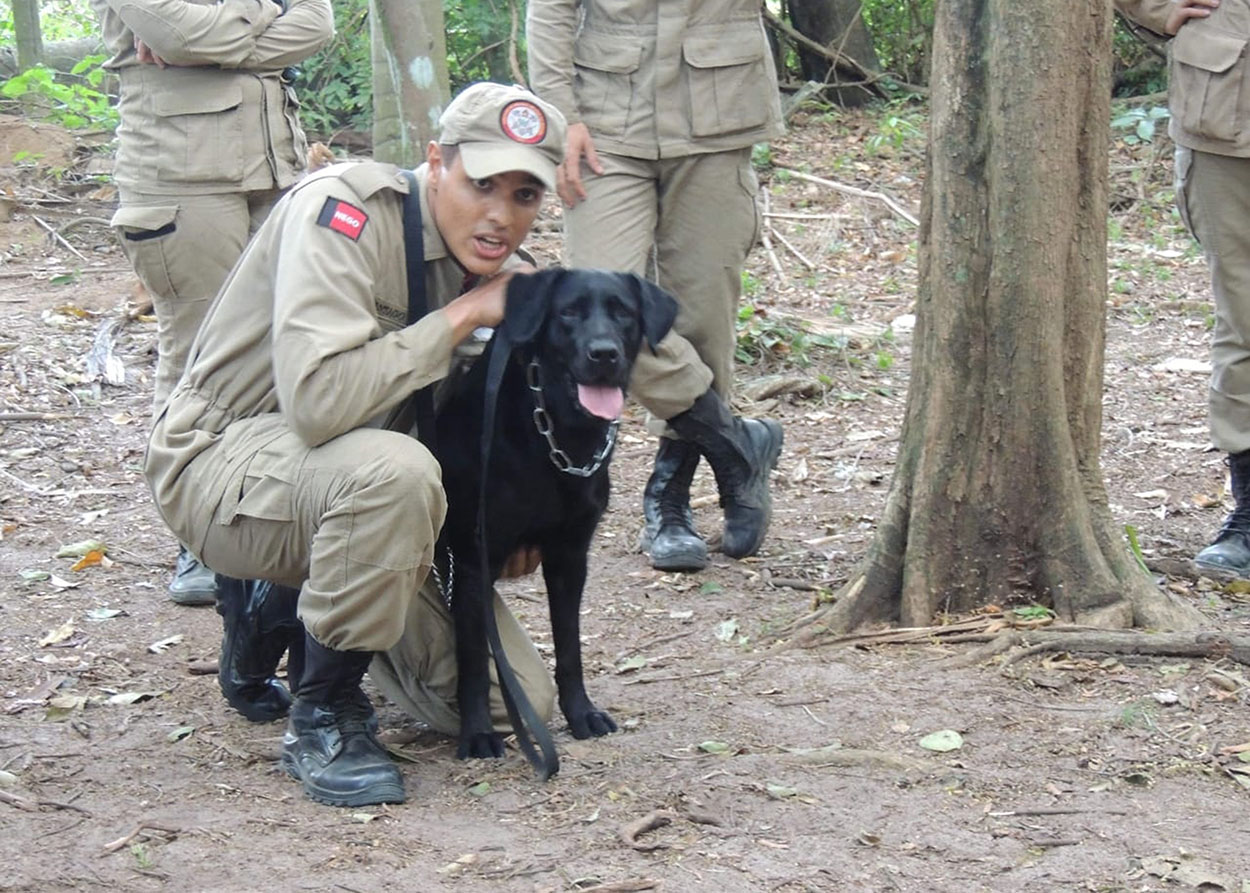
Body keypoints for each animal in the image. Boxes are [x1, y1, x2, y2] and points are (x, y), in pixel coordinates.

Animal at [435, 267, 680, 760]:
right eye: (568, 312)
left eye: (623, 312)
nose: (604, 353)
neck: (556, 434)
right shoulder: (473, 561)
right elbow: (473, 659)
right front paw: (477, 734)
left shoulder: (570, 556)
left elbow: (569, 648)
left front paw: (580, 713)